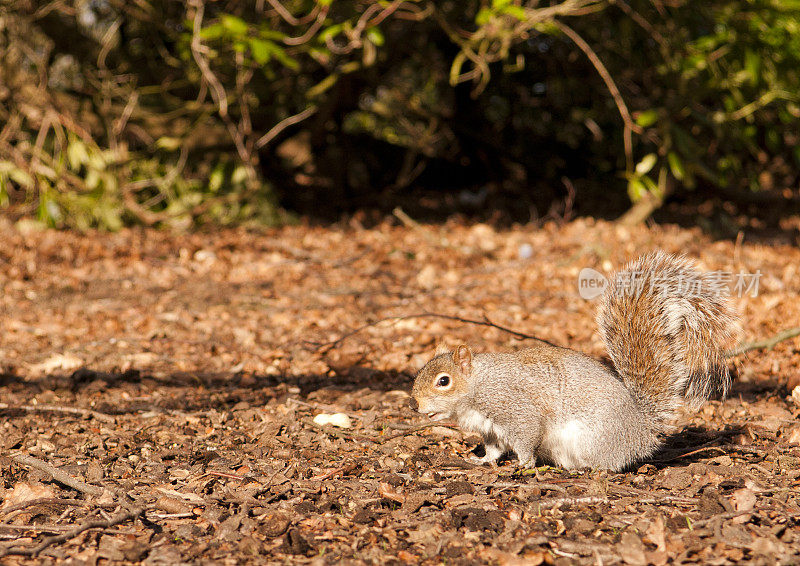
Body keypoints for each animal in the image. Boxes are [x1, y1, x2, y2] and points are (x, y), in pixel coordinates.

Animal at [412, 252, 736, 470]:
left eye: (444, 381)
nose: (414, 405)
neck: (477, 385)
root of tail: (640, 433)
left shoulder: (514, 408)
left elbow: (526, 436)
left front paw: (523, 463)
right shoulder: (491, 429)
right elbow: (493, 449)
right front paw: (481, 460)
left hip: (592, 437)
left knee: (608, 464)